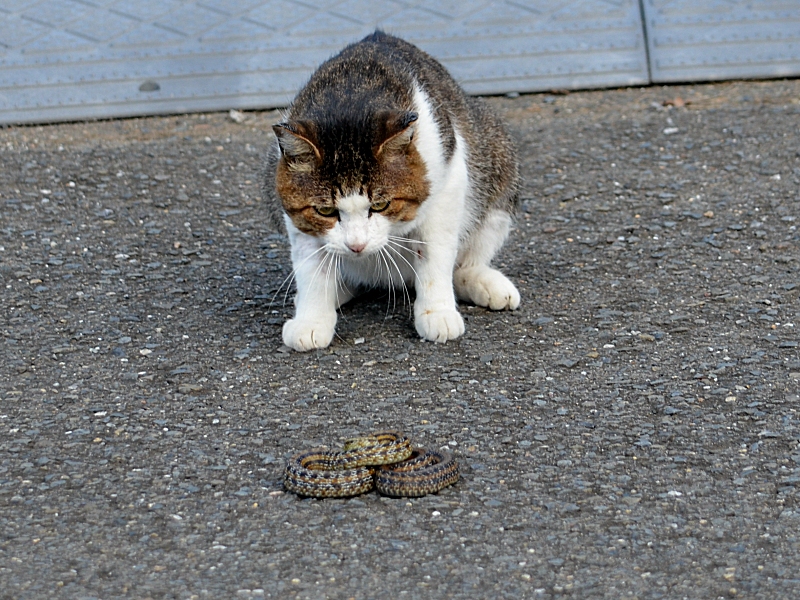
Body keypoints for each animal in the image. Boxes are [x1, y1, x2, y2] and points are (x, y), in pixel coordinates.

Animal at [262, 31, 520, 352]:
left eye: (381, 205)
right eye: (325, 210)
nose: (356, 245)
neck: (350, 99)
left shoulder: (450, 180)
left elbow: (435, 253)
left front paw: (437, 312)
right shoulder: (294, 212)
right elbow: (311, 266)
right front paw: (312, 318)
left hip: (499, 158)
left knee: (465, 258)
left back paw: (479, 280)